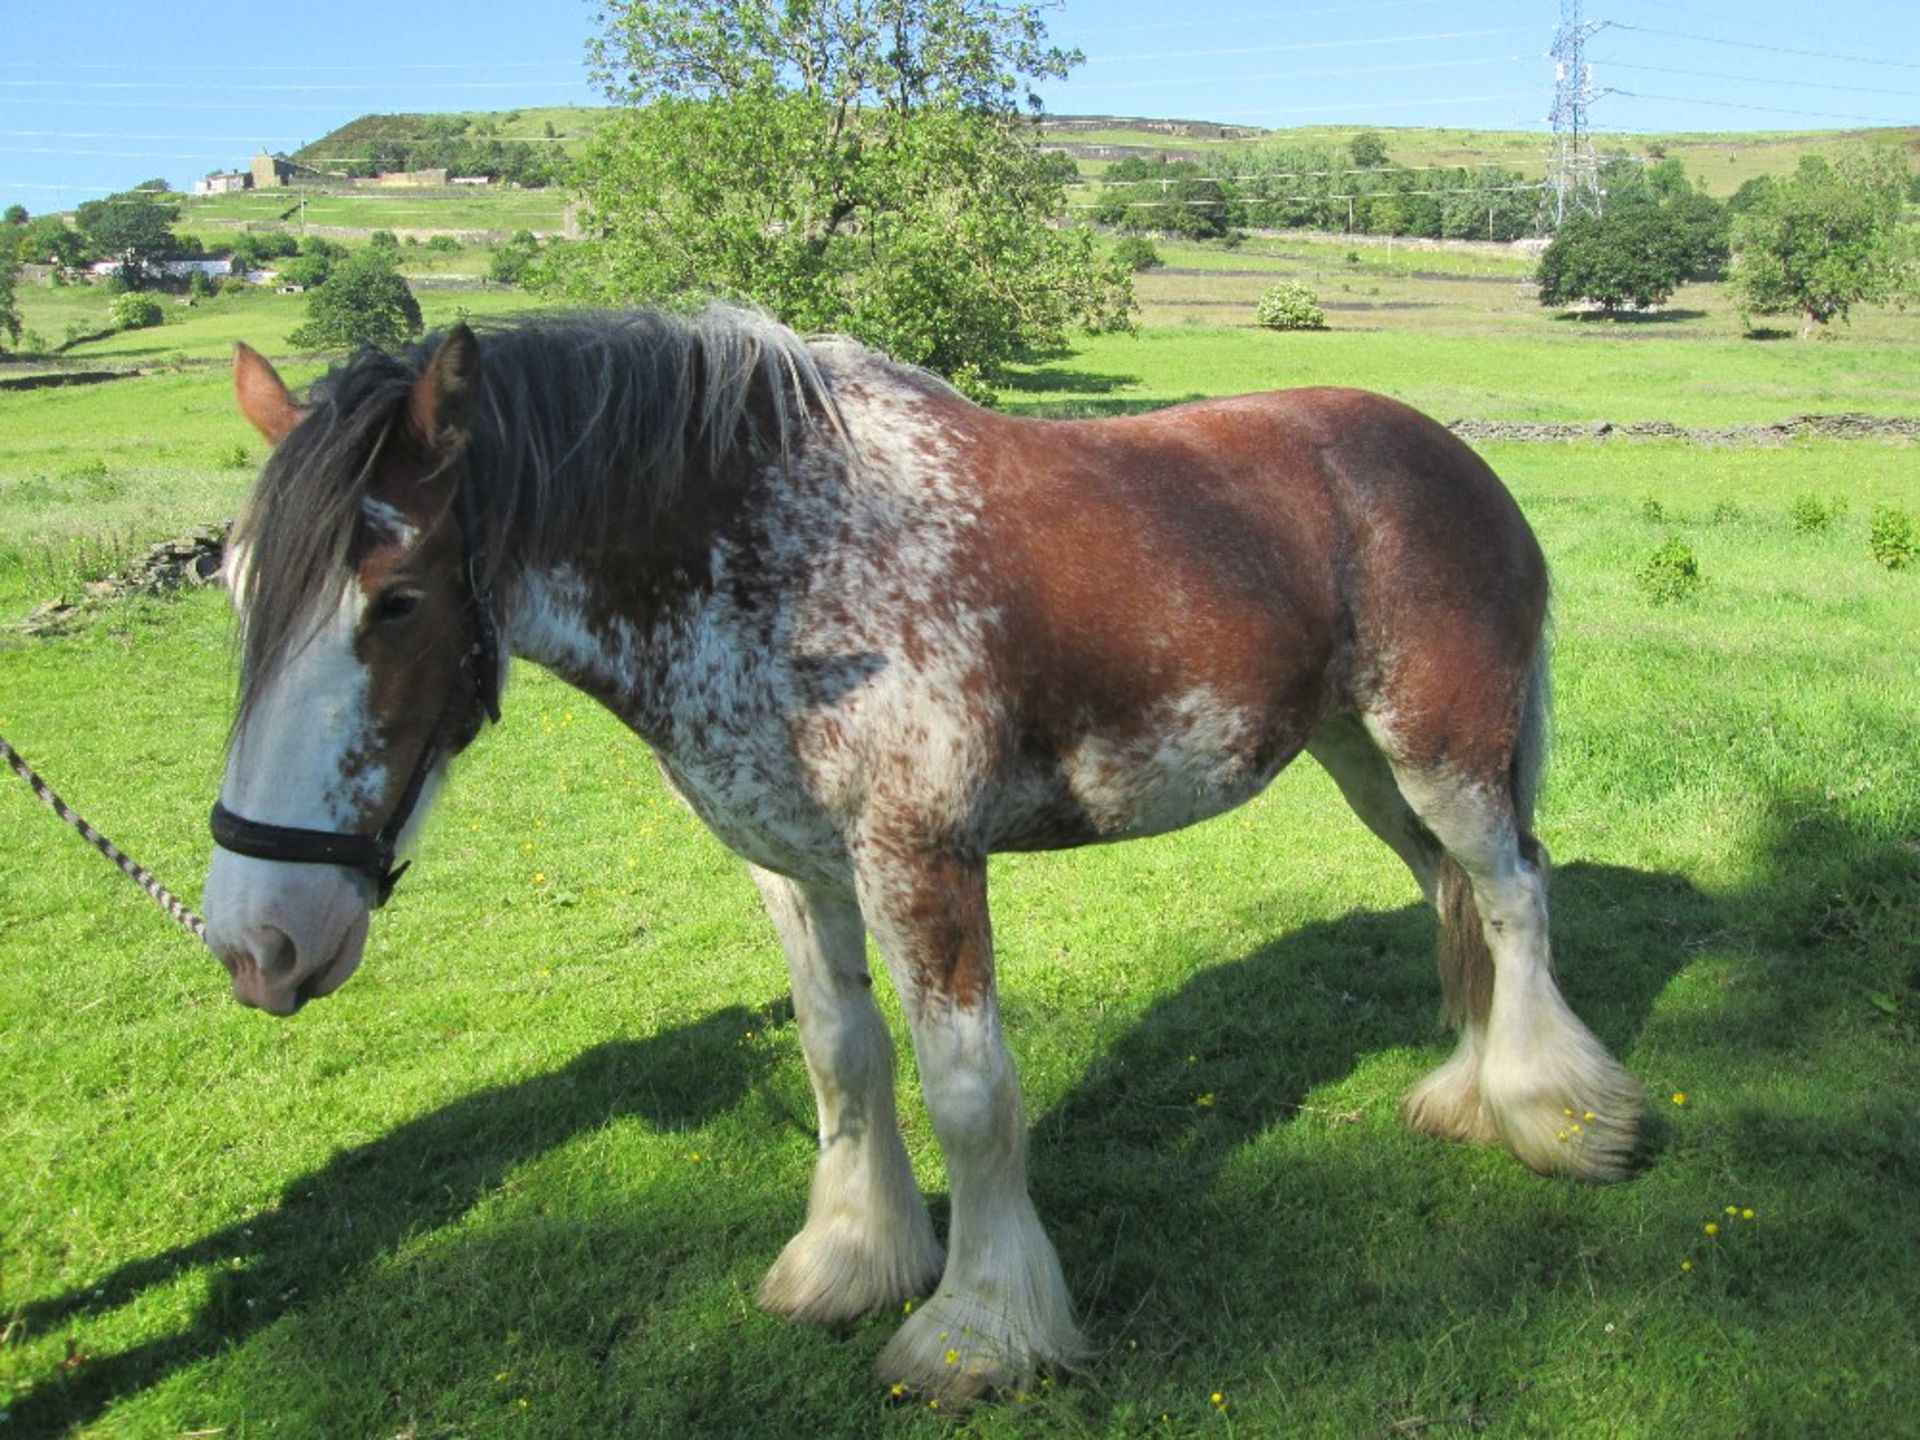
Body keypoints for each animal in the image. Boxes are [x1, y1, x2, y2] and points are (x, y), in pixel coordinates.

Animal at [202, 307, 1643, 1397]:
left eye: (394, 600)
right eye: (232, 585)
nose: (257, 942)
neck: (777, 560)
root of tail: (1452, 463)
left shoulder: (921, 859)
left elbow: (969, 1091)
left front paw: (979, 1333)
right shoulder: (795, 868)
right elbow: (842, 1058)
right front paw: (849, 1260)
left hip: (1443, 752)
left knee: (1516, 894)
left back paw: (1561, 1119)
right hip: (1365, 764)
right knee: (1459, 897)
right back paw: (1469, 1094)